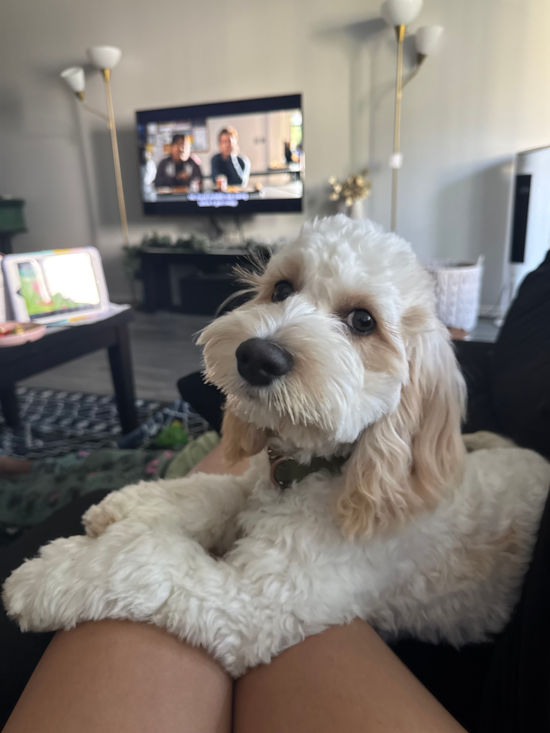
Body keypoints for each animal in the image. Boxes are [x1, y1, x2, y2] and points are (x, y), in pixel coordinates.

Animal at [4, 216, 550, 676]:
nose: (256, 357)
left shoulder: (252, 605)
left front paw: (50, 575)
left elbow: (143, 560)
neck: (314, 470)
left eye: (363, 321)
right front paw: (127, 503)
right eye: (281, 289)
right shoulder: (251, 488)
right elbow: (205, 491)